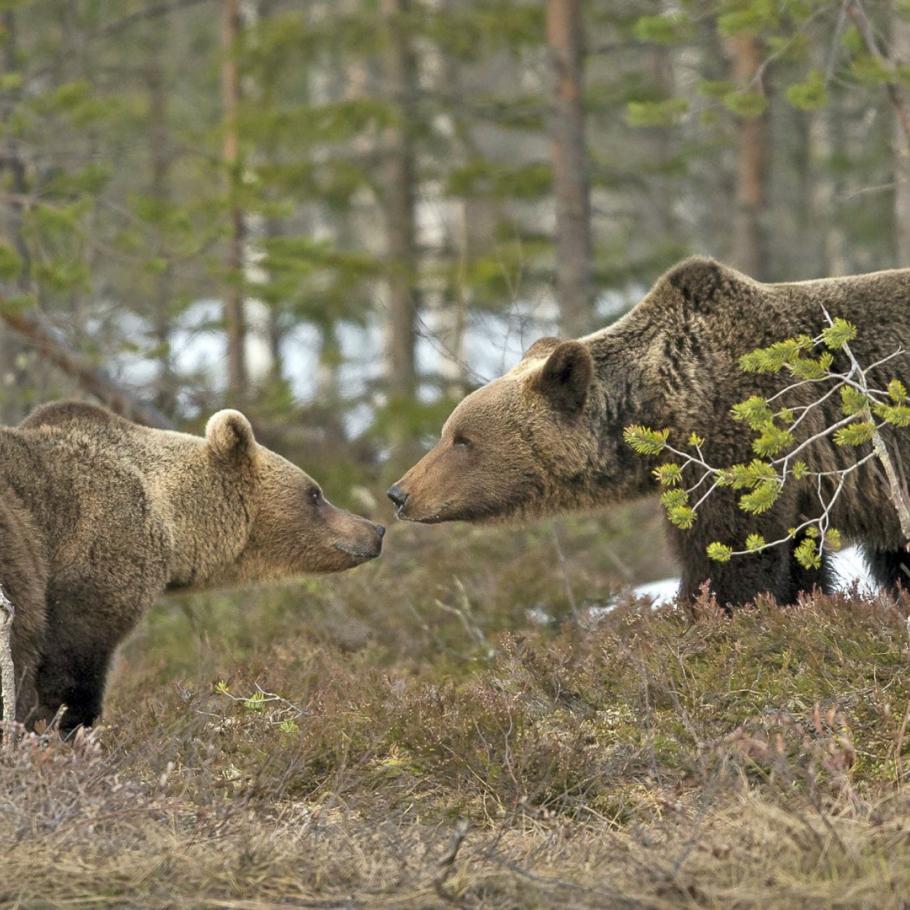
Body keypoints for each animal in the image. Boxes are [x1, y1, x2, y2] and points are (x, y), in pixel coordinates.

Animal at [0, 402, 384, 736]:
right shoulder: (99, 553)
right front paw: (63, 726)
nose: (375, 530)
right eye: (315, 494)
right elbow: (70, 661)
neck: (170, 519)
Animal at [388, 256, 910, 608]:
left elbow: (731, 559)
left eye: (463, 440)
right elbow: (799, 567)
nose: (399, 492)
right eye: (448, 432)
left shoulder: (739, 445)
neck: (666, 403)